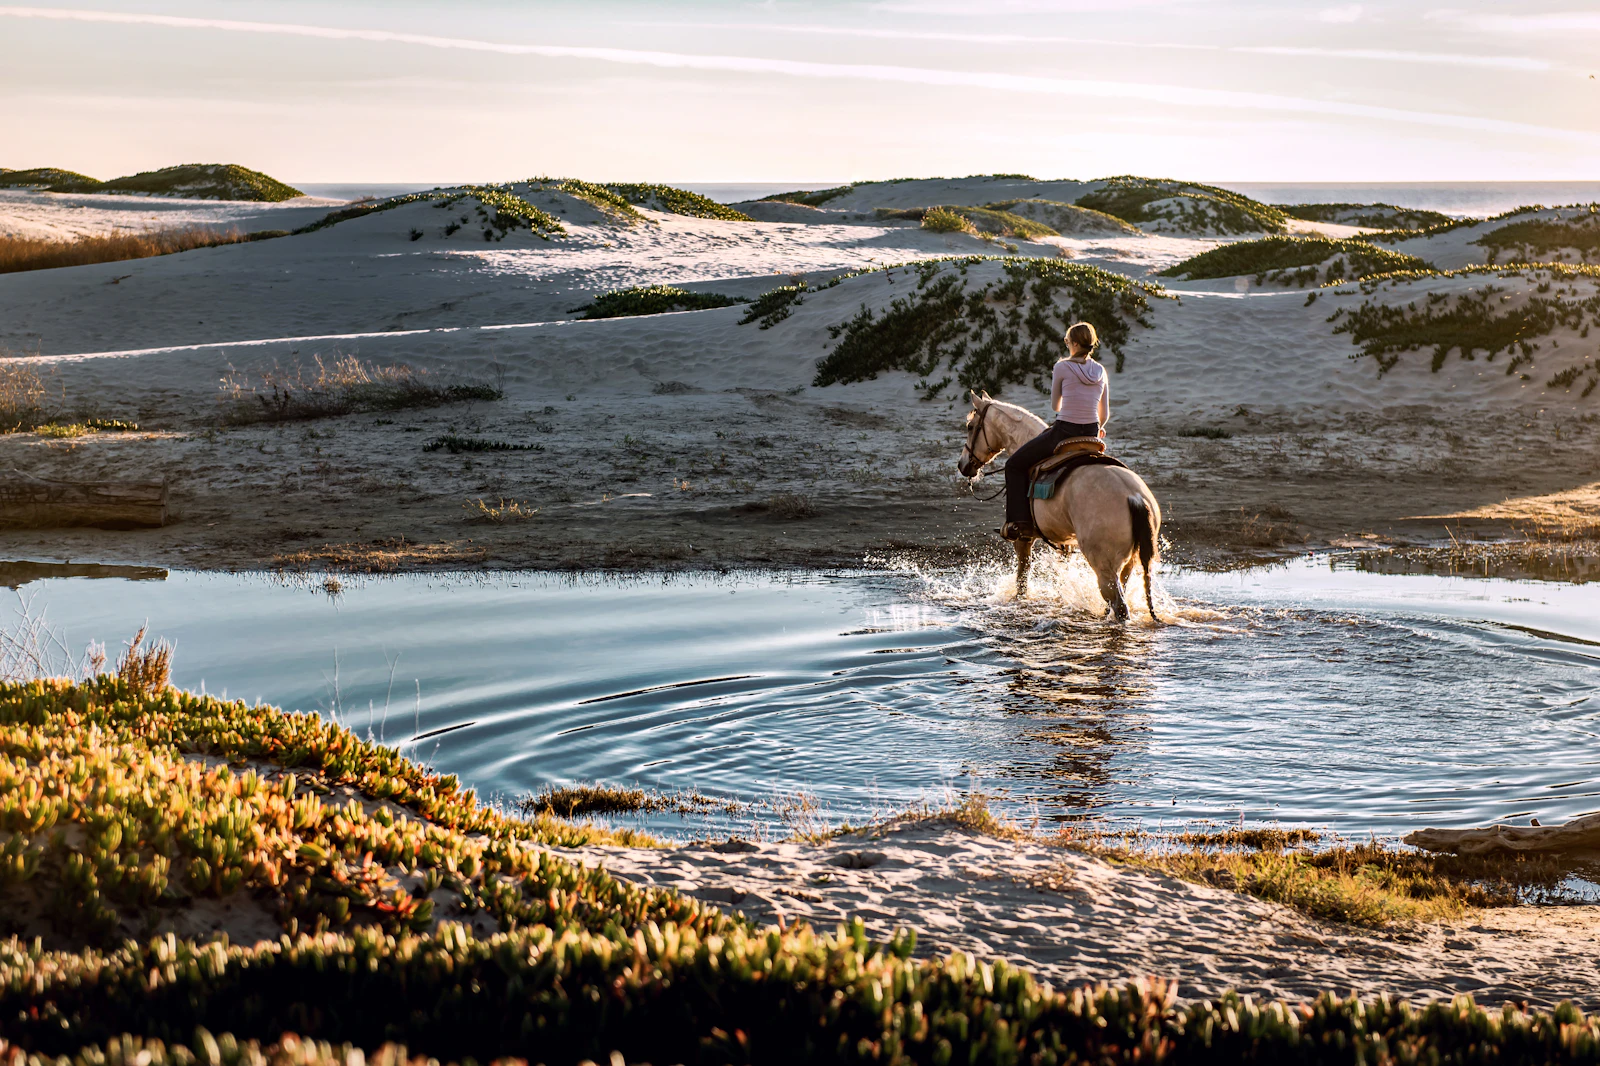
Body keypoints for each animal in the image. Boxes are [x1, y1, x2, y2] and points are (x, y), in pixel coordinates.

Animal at [956, 390, 1162, 622]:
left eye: (970, 426)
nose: (963, 465)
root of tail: (1134, 497)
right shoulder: (1064, 543)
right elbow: (1059, 575)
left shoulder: (1023, 538)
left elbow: (1022, 577)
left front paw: (1019, 603)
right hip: (1129, 563)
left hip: (1104, 566)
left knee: (1119, 607)